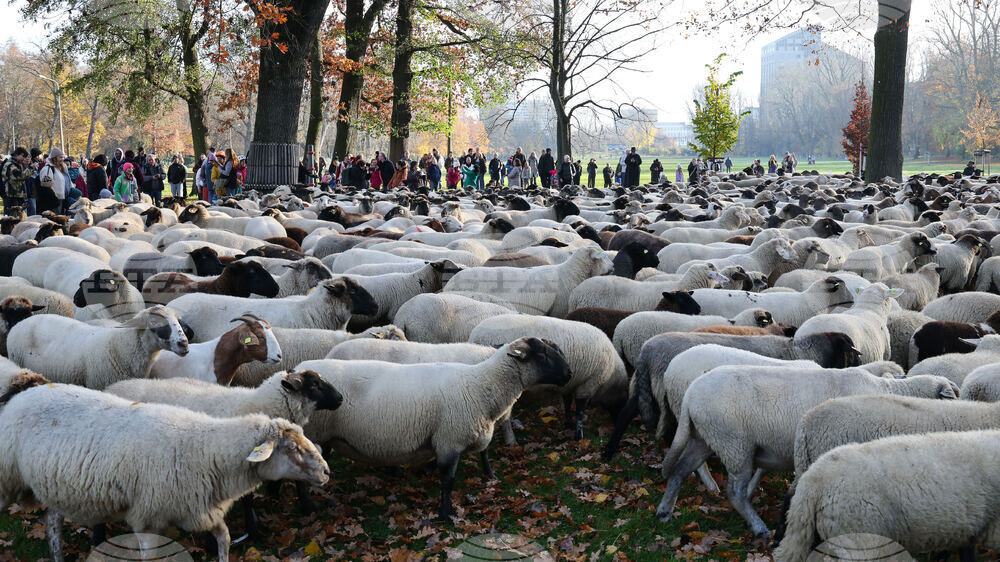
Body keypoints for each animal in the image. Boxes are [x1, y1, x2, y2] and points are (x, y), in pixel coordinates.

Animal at [0, 381, 328, 562]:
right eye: (292, 448)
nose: (326, 472)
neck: (203, 448)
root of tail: (25, 394)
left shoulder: (199, 509)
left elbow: (224, 538)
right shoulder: (147, 517)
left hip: (53, 484)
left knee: (52, 521)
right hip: (7, 479)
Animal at [301, 337, 571, 520]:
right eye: (543, 355)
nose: (569, 374)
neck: (480, 385)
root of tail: (301, 367)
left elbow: (482, 454)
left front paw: (490, 476)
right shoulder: (449, 440)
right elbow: (447, 480)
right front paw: (445, 513)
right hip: (313, 434)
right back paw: (308, 508)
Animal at [469, 315, 628, 440]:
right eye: (622, 403)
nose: (617, 423)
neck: (611, 377)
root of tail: (474, 335)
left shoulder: (569, 384)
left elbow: (567, 402)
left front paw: (568, 423)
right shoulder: (589, 384)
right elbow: (580, 409)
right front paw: (578, 435)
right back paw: (511, 440)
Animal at [656, 364, 958, 536]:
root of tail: (691, 394)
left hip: (706, 437)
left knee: (681, 470)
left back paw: (664, 511)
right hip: (734, 443)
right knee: (735, 492)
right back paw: (759, 528)